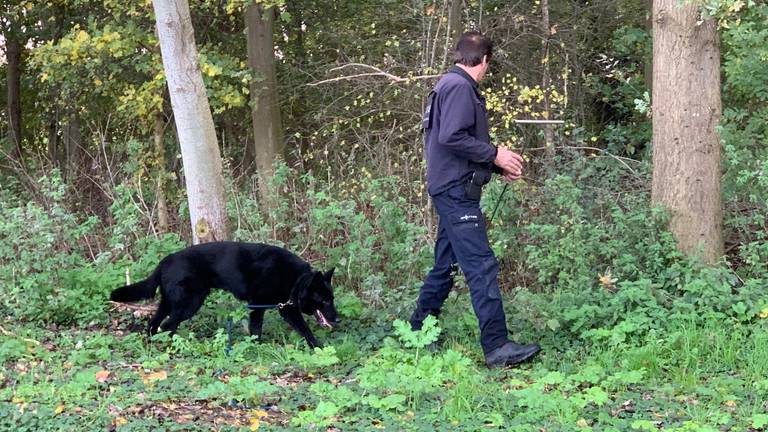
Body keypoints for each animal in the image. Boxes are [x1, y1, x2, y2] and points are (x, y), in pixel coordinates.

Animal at [109, 241, 338, 350]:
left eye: (332, 299)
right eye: (324, 300)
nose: (337, 319)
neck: (296, 279)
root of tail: (165, 261)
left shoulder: (287, 309)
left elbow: (305, 329)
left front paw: (318, 348)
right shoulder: (257, 306)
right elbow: (256, 330)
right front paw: (255, 347)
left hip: (168, 302)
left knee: (154, 323)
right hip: (190, 303)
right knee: (168, 325)